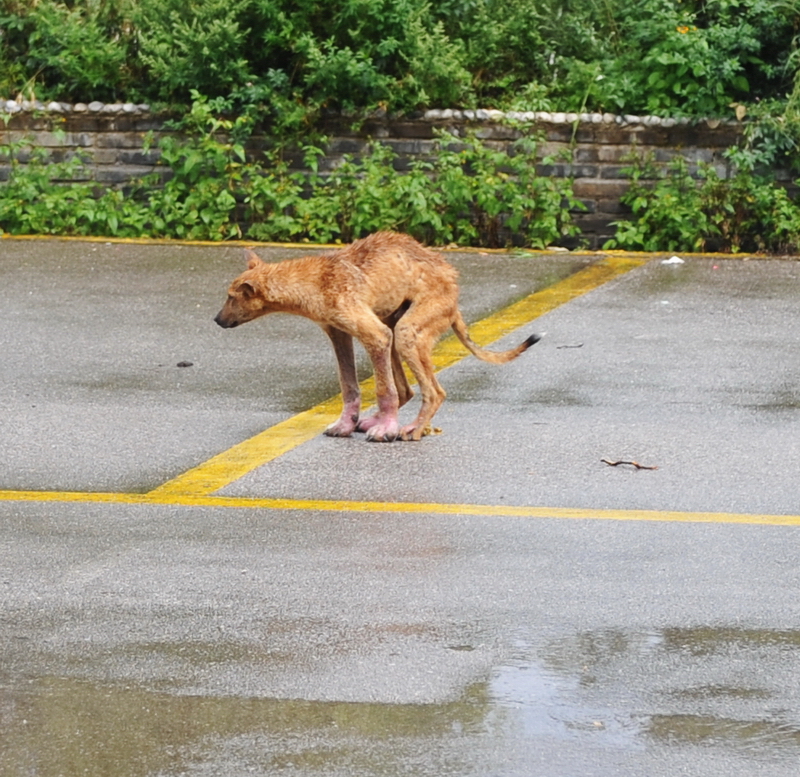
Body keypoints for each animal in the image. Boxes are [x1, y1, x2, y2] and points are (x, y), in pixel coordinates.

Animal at [214, 232, 540, 441]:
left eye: (231, 297)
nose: (216, 320)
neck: (315, 282)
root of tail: (454, 292)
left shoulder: (376, 335)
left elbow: (384, 391)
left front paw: (386, 429)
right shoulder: (339, 333)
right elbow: (350, 386)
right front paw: (347, 424)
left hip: (405, 333)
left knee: (433, 392)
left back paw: (411, 429)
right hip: (394, 325)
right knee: (407, 390)